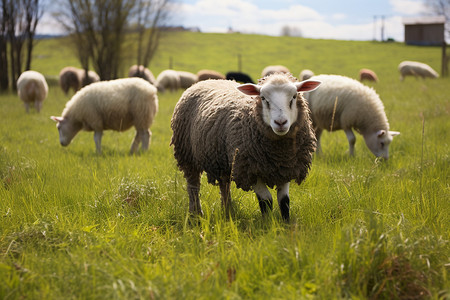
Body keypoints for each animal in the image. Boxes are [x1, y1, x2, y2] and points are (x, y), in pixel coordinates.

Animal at [171, 74, 322, 221]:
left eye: (294, 96)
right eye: (263, 98)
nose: (280, 122)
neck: (279, 154)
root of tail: (206, 80)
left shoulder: (287, 168)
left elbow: (284, 201)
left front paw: (286, 224)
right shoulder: (249, 169)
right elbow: (266, 200)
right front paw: (268, 224)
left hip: (223, 159)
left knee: (224, 185)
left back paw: (227, 211)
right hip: (187, 154)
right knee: (193, 186)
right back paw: (196, 214)